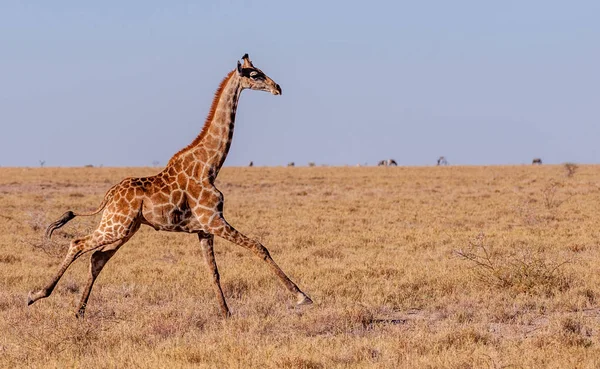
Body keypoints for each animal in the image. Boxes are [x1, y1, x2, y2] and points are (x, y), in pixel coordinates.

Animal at [27, 53, 314, 318]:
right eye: (254, 74)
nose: (278, 87)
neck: (209, 166)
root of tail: (109, 195)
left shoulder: (205, 229)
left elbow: (214, 272)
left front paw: (226, 314)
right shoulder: (214, 221)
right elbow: (258, 246)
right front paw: (302, 297)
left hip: (126, 228)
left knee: (97, 258)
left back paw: (79, 312)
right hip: (117, 225)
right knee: (78, 244)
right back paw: (36, 295)